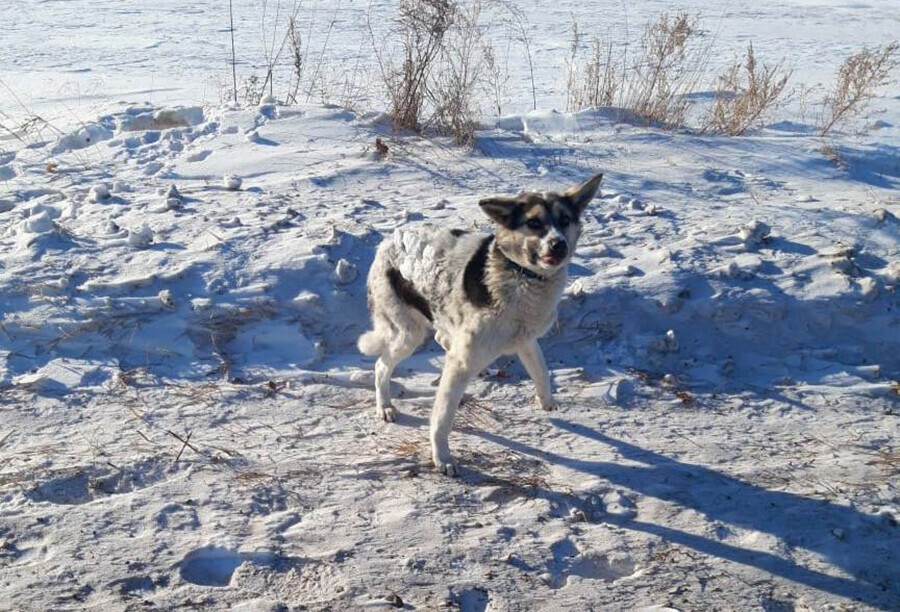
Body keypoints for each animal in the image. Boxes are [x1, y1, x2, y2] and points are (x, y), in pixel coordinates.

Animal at [360, 175, 604, 476]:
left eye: (565, 219)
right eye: (534, 222)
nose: (558, 244)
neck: (521, 274)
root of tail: (389, 240)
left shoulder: (525, 339)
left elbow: (541, 371)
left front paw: (546, 401)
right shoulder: (466, 357)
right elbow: (442, 417)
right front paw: (442, 456)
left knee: (442, 339)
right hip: (408, 334)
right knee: (381, 365)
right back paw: (385, 405)